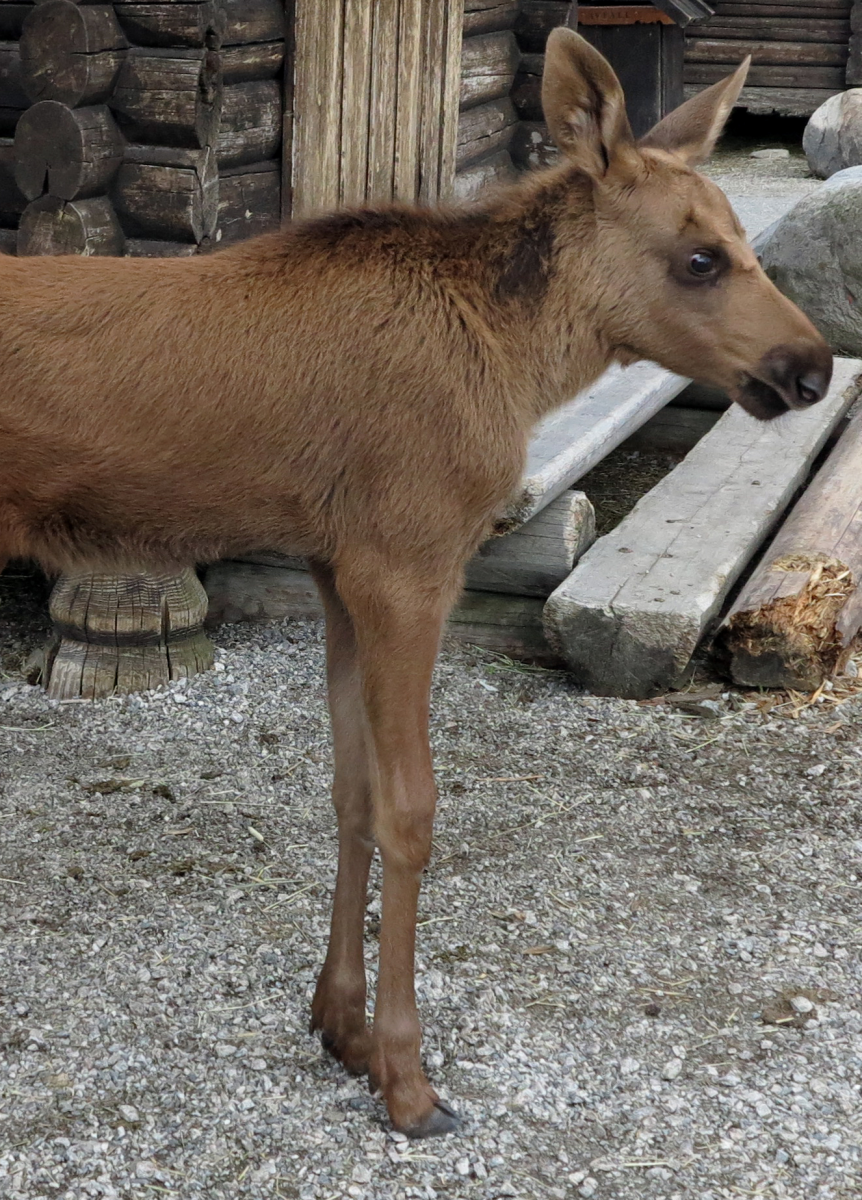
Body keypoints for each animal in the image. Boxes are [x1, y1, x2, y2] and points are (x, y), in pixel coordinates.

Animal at [0, 30, 831, 1137]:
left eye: (744, 237)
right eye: (700, 258)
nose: (811, 367)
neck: (517, 358)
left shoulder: (338, 566)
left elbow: (351, 792)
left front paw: (341, 1027)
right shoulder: (409, 563)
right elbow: (411, 810)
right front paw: (405, 1073)